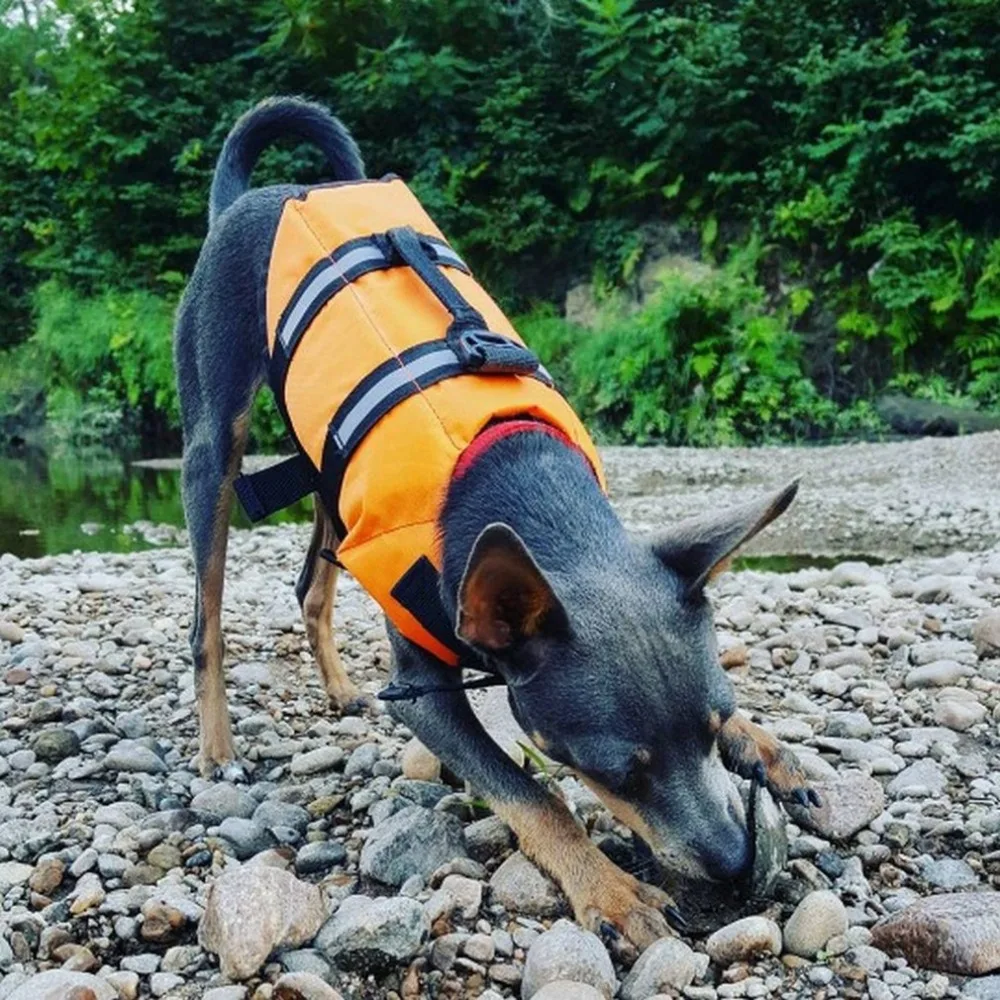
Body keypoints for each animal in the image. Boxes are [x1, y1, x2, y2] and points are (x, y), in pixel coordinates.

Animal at [176, 97, 816, 948]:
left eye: (715, 727)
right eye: (617, 772)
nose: (735, 861)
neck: (514, 474)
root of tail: (251, 199)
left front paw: (766, 745)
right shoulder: (423, 697)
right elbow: (530, 794)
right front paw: (607, 887)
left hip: (330, 470)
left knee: (313, 582)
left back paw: (340, 688)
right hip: (214, 442)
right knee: (207, 617)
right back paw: (218, 747)